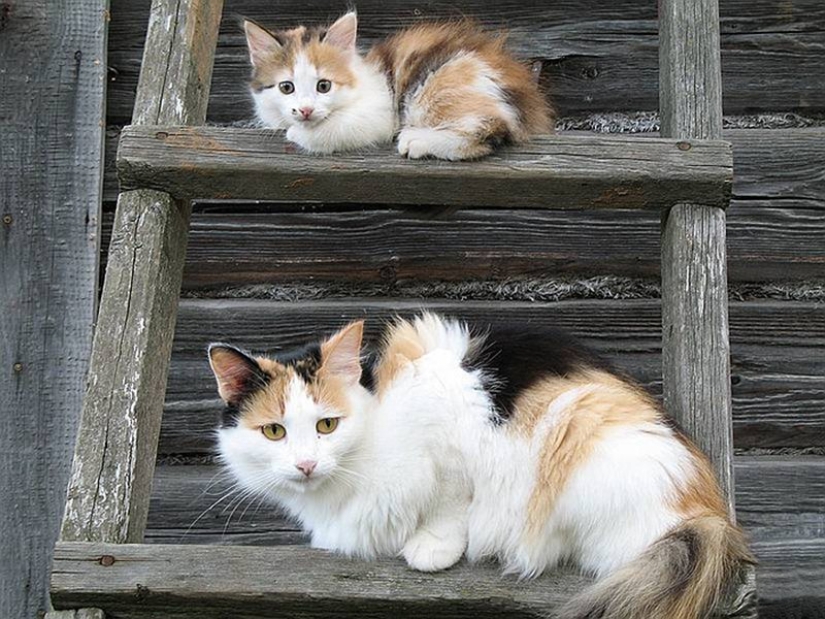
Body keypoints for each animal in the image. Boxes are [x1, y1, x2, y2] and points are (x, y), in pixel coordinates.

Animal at [208, 318, 752, 616]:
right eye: (274, 432)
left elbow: (450, 504)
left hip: (577, 425)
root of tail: (712, 515)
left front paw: (432, 549)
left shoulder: (452, 438)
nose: (305, 464)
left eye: (326, 425)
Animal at [245, 11, 552, 160]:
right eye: (286, 88)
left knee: (492, 129)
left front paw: (298, 133)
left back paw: (417, 140)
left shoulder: (379, 114)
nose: (305, 110)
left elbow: (330, 131)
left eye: (324, 86)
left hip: (437, 85)